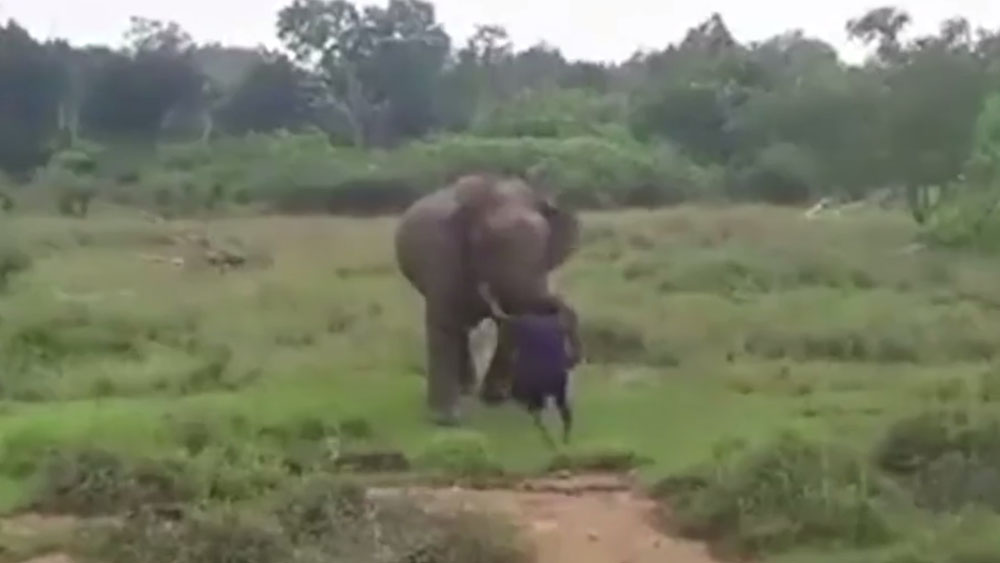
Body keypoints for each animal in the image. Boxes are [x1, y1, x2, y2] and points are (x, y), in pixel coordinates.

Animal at [394, 173, 581, 426]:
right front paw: (446, 419)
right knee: (456, 327)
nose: (574, 358)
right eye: (490, 244)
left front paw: (495, 398)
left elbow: (512, 321)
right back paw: (464, 390)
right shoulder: (442, 255)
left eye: (543, 245)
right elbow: (444, 324)